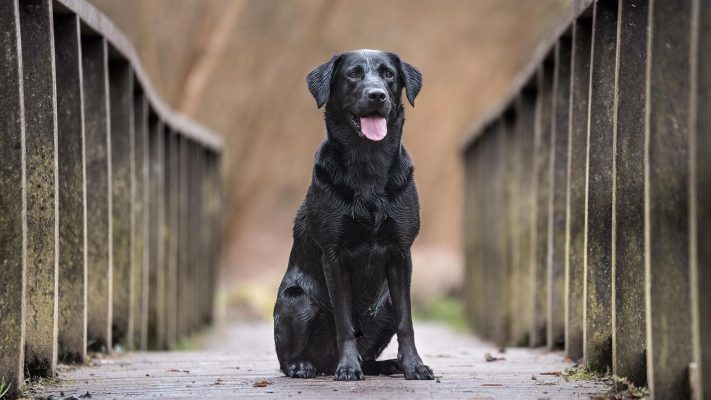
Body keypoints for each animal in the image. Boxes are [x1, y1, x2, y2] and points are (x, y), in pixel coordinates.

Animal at [272, 49, 432, 382]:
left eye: (388, 74)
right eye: (353, 74)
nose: (377, 95)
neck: (368, 165)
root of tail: (323, 363)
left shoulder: (401, 253)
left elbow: (407, 321)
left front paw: (414, 365)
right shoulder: (334, 254)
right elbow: (344, 322)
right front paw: (348, 368)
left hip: (384, 305)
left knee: (370, 352)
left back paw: (386, 365)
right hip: (297, 301)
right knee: (286, 359)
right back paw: (304, 366)